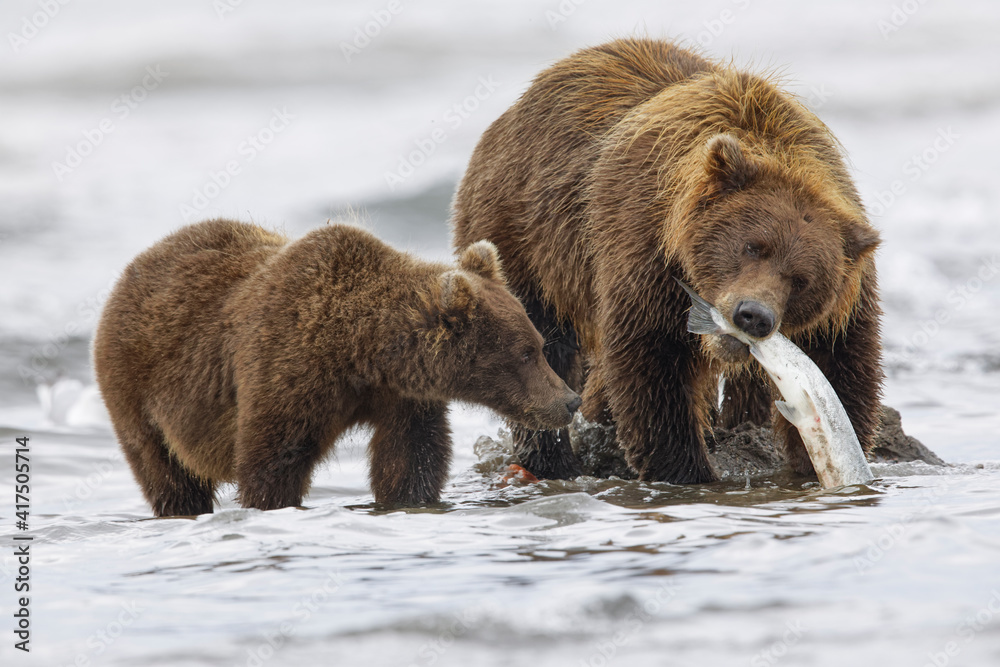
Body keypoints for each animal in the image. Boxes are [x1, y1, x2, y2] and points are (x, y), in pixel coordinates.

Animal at [93, 219, 581, 516]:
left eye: (540, 344)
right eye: (526, 353)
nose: (570, 400)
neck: (361, 351)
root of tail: (129, 272)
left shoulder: (403, 398)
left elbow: (411, 457)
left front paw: (409, 498)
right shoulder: (287, 369)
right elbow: (271, 461)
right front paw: (271, 502)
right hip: (135, 390)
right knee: (168, 473)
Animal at [452, 38, 883, 484]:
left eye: (801, 280)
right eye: (752, 246)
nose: (753, 315)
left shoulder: (844, 298)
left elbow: (842, 368)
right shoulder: (644, 247)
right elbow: (651, 366)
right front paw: (688, 469)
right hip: (525, 238)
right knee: (540, 343)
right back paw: (553, 459)